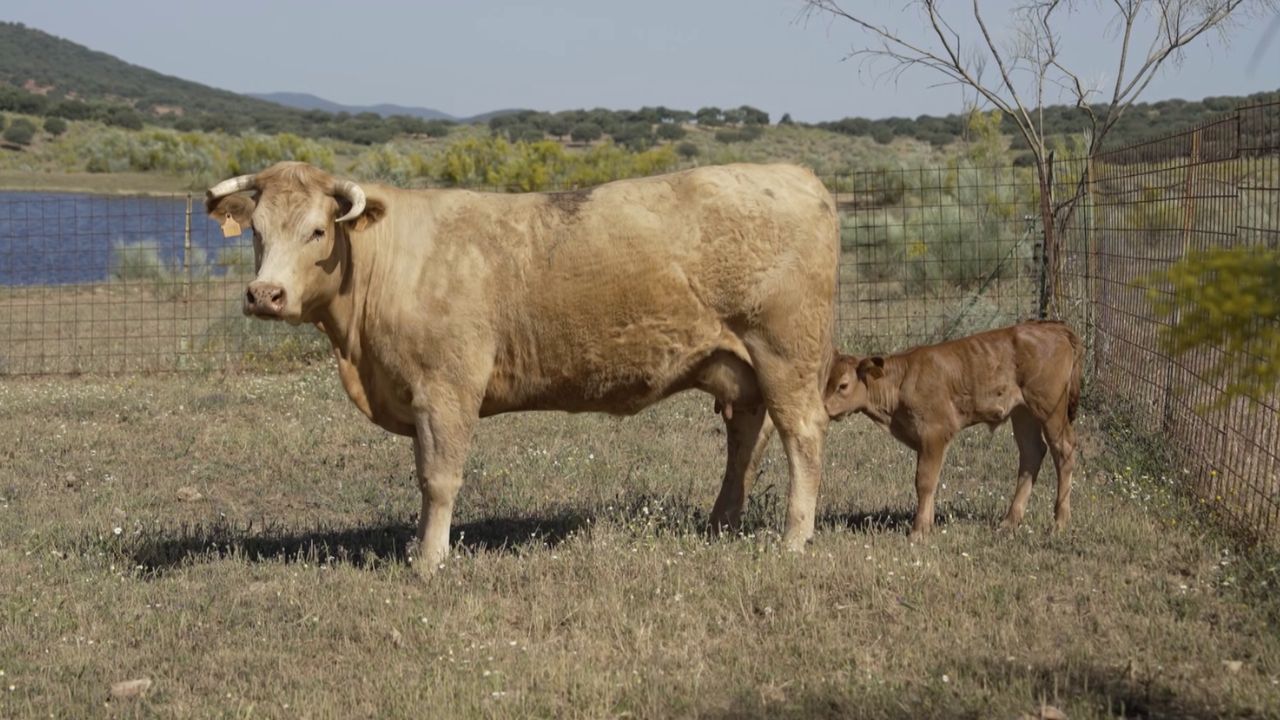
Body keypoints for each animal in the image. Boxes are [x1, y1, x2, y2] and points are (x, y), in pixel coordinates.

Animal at [205, 161, 838, 575]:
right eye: (256, 231)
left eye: (317, 230)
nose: (265, 295)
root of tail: (795, 175)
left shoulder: (446, 389)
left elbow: (438, 478)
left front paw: (429, 560)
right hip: (741, 366)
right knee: (746, 438)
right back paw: (720, 524)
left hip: (786, 355)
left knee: (803, 435)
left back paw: (794, 538)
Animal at [823, 321, 1082, 539]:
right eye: (825, 381)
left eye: (843, 385)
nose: (823, 408)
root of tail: (1052, 327)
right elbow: (931, 481)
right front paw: (927, 525)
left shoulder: (935, 432)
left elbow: (924, 481)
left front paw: (918, 531)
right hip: (1023, 412)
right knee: (1031, 454)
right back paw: (1009, 521)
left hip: (1049, 407)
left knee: (1064, 451)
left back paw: (1059, 522)